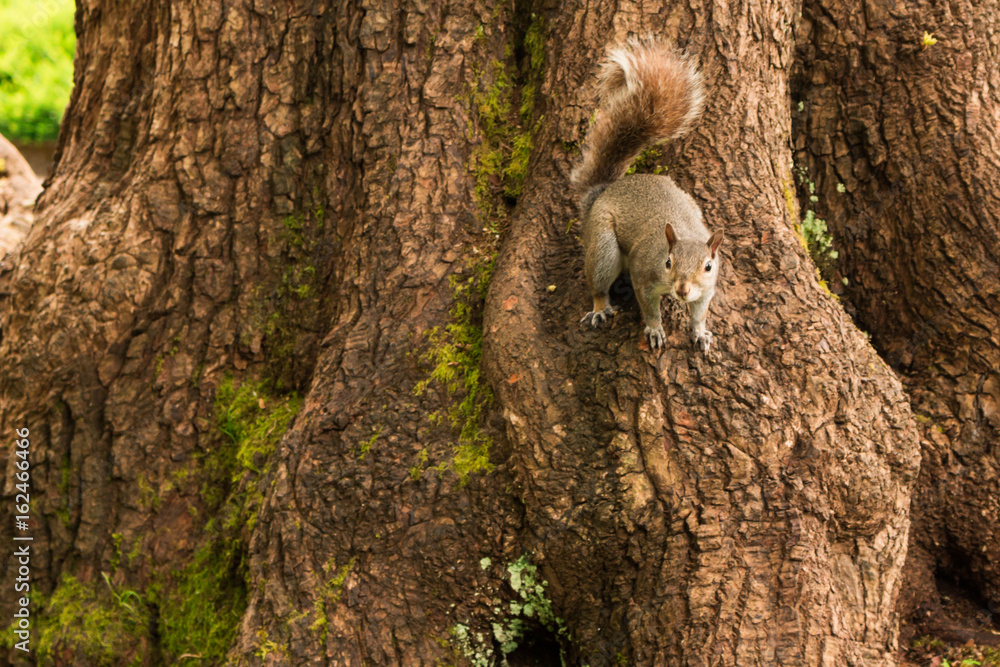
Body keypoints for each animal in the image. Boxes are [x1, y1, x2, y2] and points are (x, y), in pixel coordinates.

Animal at [572, 38, 723, 352]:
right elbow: (649, 307)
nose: (682, 289)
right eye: (668, 262)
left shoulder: (707, 290)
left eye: (708, 266)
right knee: (598, 282)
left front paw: (700, 332)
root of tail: (602, 192)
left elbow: (700, 312)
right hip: (603, 245)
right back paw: (600, 307)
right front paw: (654, 329)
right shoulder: (643, 277)